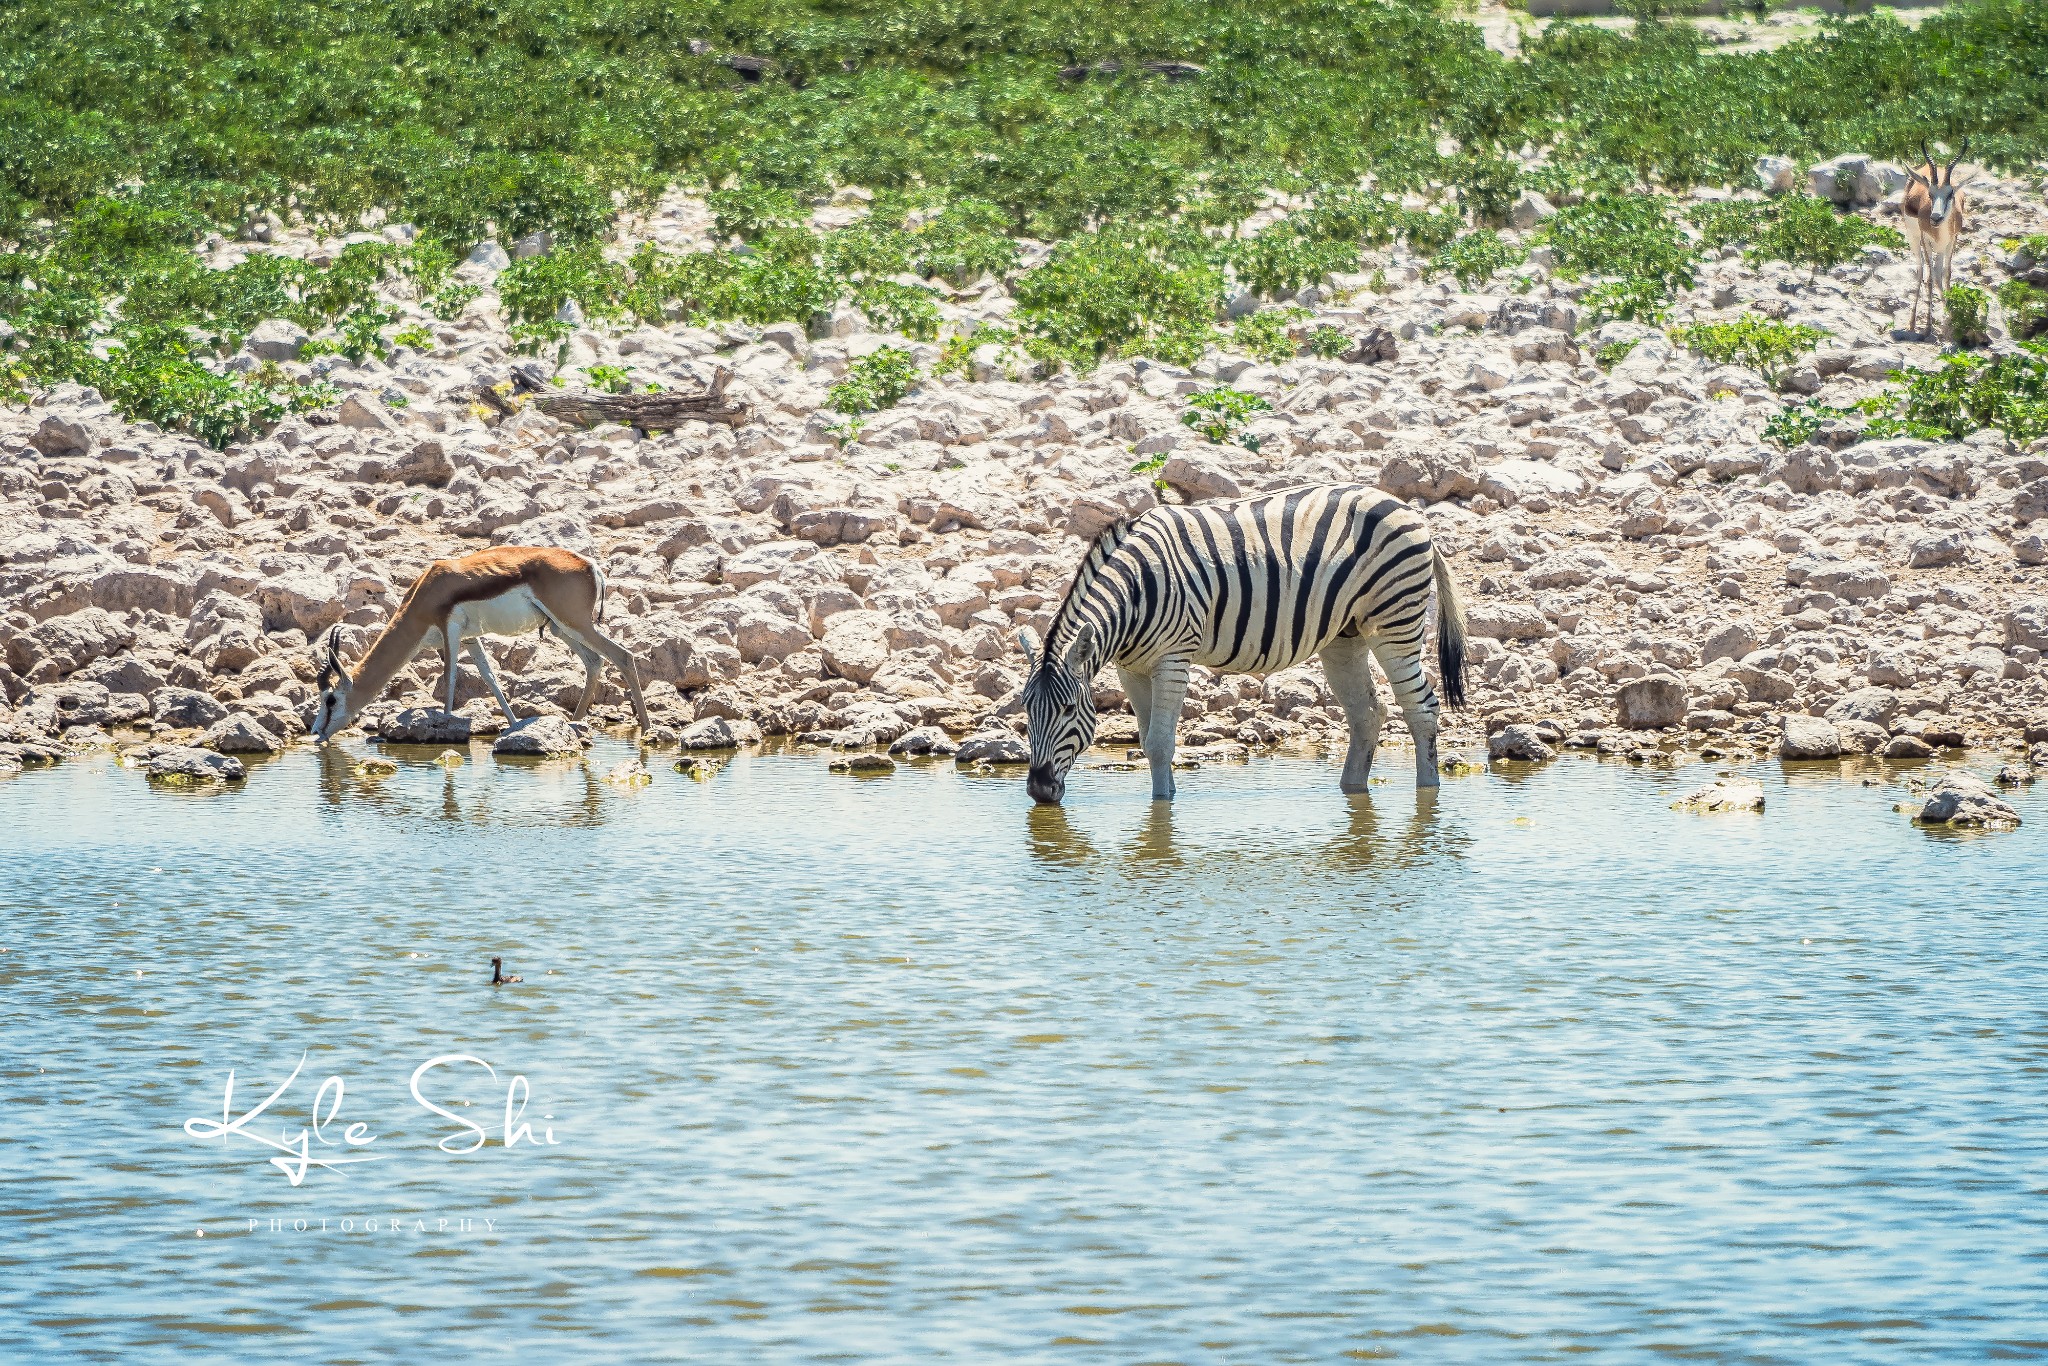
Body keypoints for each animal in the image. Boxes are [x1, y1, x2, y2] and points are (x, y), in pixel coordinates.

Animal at [307, 544, 647, 741]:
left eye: (330, 699)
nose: (316, 731)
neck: (427, 591)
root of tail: (590, 565)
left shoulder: (451, 630)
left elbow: (450, 677)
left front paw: (444, 726)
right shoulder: (472, 638)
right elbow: (490, 677)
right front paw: (513, 724)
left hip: (574, 623)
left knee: (624, 656)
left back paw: (645, 729)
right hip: (559, 628)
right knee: (596, 661)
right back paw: (575, 725)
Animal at [1015, 483, 1466, 806]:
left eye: (1069, 709)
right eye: (1026, 711)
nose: (1039, 791)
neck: (1136, 594)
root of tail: (1408, 510)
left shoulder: (1173, 658)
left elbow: (1160, 743)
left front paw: (1163, 806)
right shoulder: (1131, 669)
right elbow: (1146, 742)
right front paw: (1165, 797)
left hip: (1394, 621)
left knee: (1421, 707)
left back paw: (1428, 791)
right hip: (1345, 635)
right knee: (1368, 713)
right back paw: (1351, 790)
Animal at [1900, 137, 1966, 339]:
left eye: (1950, 193)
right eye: (1930, 194)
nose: (1935, 218)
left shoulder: (1951, 241)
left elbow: (1945, 274)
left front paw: (1951, 323)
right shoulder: (1926, 241)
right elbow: (1929, 279)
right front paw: (1928, 327)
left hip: (1940, 248)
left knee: (1936, 274)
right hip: (1913, 239)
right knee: (1921, 271)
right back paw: (1912, 324)